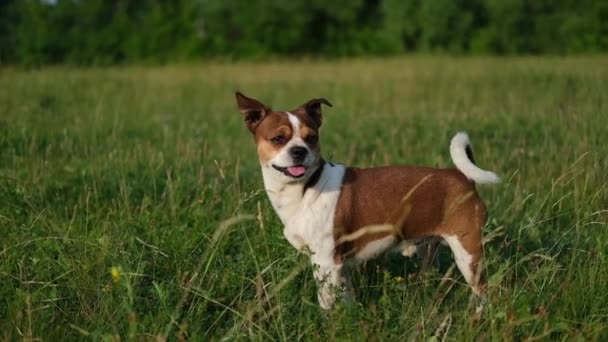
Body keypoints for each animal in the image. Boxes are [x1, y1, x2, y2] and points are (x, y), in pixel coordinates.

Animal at [234, 92, 498, 308]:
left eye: (312, 138)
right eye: (278, 139)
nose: (299, 151)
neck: (306, 188)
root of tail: (461, 176)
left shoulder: (326, 262)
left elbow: (326, 304)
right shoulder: (338, 267)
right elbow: (346, 299)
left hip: (468, 254)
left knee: (483, 293)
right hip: (431, 249)